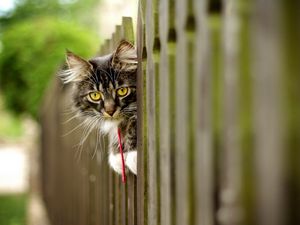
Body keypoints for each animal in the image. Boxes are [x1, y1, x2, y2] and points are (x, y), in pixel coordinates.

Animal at [59, 40, 138, 174]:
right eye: (95, 95)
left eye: (122, 91)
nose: (110, 111)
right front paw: (117, 155)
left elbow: (134, 120)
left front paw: (134, 154)